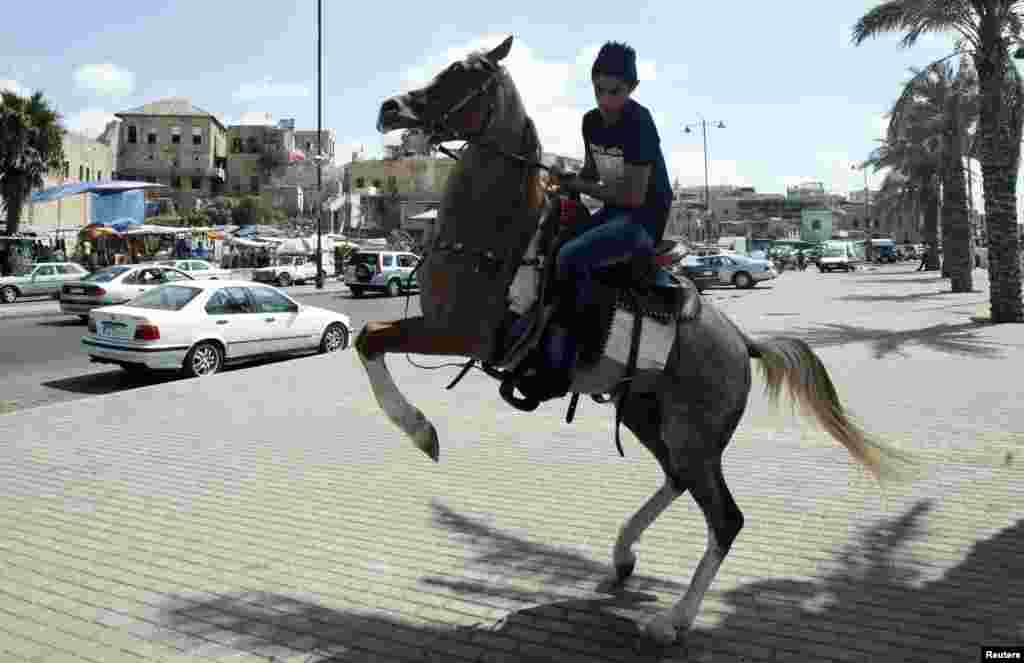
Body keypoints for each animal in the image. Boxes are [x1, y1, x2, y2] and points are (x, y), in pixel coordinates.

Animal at [354, 35, 905, 643]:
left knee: (725, 518)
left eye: (464, 74)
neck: (501, 235)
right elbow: (367, 337)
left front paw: (421, 432)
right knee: (679, 483)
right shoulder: (445, 330)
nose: (390, 108)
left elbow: (369, 337)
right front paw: (420, 429)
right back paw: (623, 556)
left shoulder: (459, 332)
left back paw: (674, 619)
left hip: (691, 435)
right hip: (648, 415)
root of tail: (742, 343)